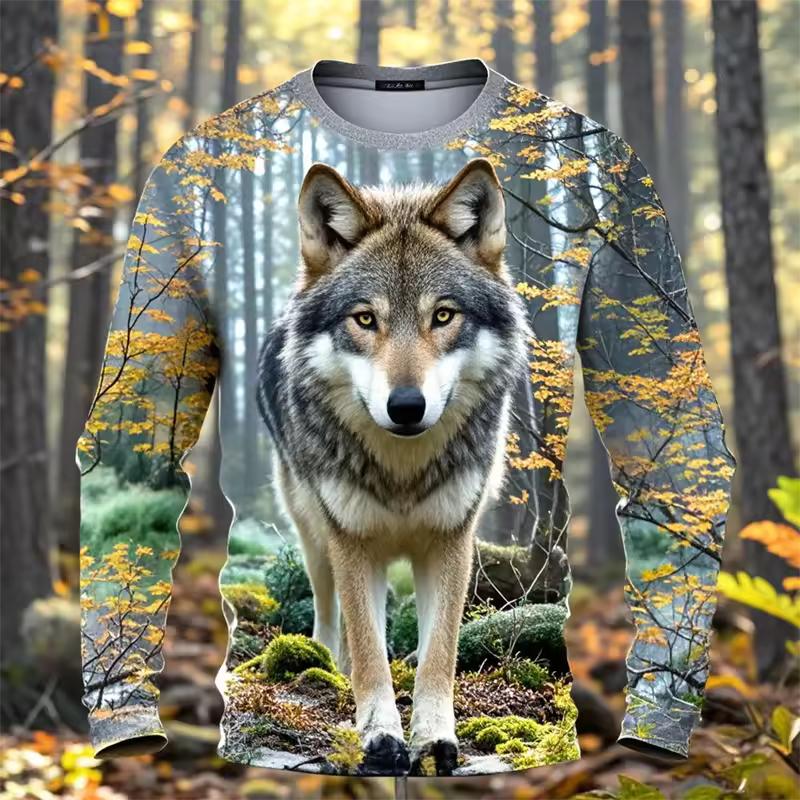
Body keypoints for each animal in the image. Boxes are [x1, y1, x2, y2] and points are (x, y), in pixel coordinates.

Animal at [255, 157, 529, 776]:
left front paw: (434, 739)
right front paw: (380, 737)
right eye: (365, 319)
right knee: (329, 610)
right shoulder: (353, 541)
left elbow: (439, 654)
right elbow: (368, 652)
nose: (406, 406)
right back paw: (325, 660)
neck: (403, 470)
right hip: (313, 529)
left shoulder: (452, 540)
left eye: (443, 315)